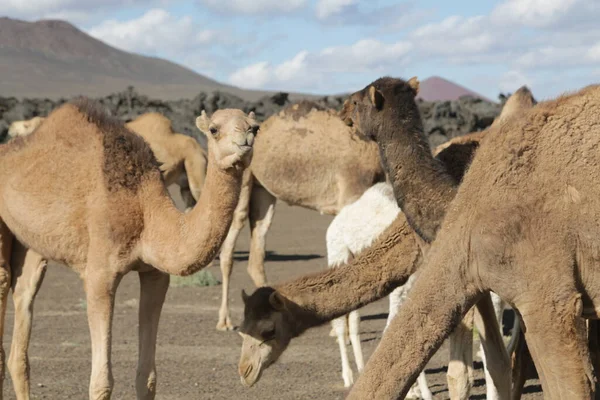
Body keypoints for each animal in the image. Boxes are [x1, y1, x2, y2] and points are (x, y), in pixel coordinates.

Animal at [0, 97, 255, 400]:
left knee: (24, 298)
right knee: (4, 280)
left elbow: (147, 378)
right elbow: (101, 383)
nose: (246, 138)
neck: (144, 210)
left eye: (255, 126)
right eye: (214, 129)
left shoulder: (156, 275)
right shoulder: (99, 275)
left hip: (31, 244)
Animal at [216, 101, 384, 330]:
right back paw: (225, 322)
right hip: (243, 179)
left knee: (258, 245)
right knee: (230, 243)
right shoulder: (351, 193)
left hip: (263, 192)